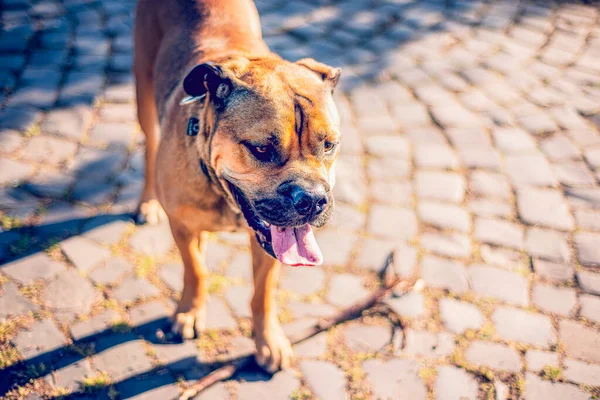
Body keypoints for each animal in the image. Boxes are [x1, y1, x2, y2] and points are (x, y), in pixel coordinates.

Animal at [135, 0, 342, 372]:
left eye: (329, 145)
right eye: (260, 149)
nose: (312, 200)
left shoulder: (271, 248)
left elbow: (263, 295)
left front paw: (267, 341)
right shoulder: (181, 225)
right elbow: (195, 270)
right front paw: (189, 313)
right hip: (142, 90)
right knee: (149, 146)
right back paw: (148, 202)